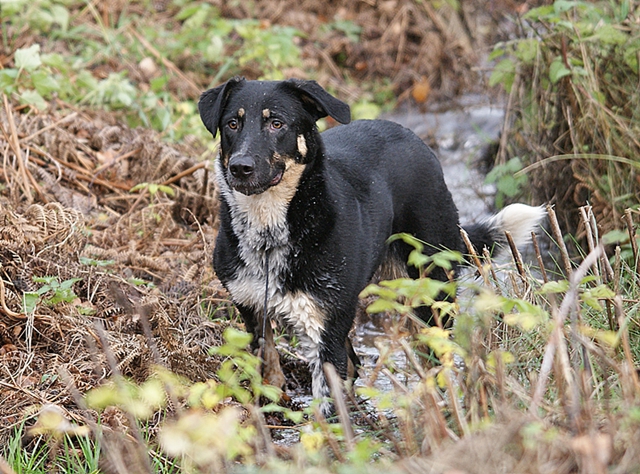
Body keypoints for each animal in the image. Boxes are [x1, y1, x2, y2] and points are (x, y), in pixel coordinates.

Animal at [198, 78, 544, 414]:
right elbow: (268, 372)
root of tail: (412, 137)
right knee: (355, 362)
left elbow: (328, 411)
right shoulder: (253, 311)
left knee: (434, 357)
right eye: (232, 124)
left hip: (431, 294)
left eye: (277, 124)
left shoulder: (324, 330)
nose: (240, 167)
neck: (270, 228)